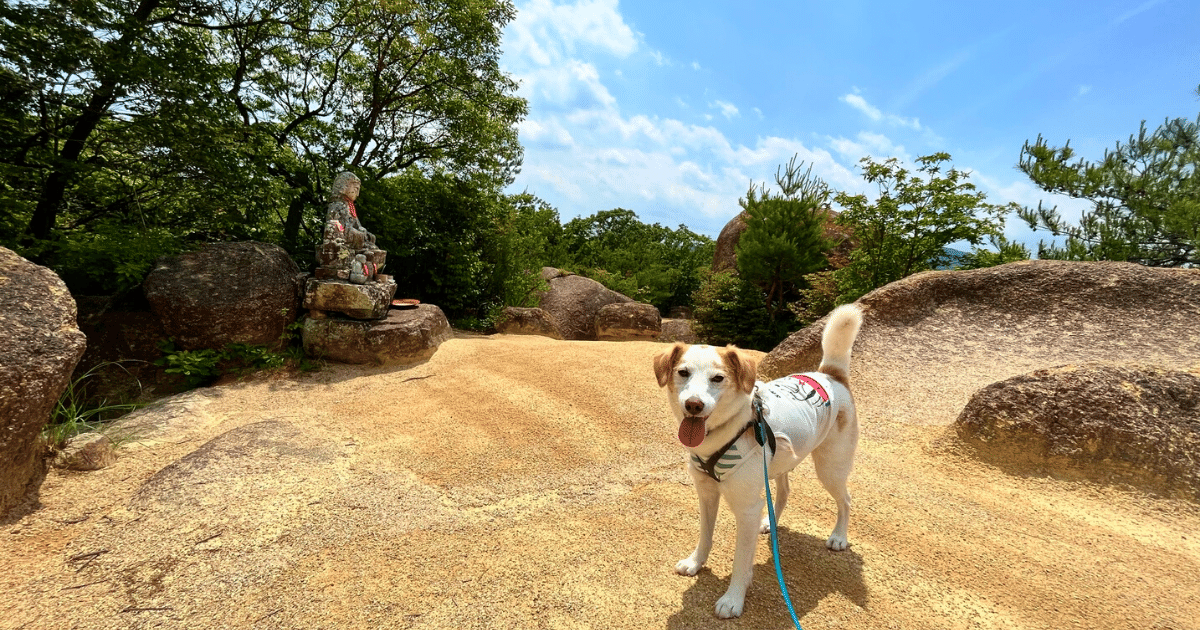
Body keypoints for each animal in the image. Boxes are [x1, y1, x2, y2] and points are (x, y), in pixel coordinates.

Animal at [657, 302, 864, 614]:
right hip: (778, 463)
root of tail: (830, 374)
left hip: (830, 467)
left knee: (846, 500)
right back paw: (770, 522)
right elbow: (705, 535)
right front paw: (695, 562)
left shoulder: (747, 509)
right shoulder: (706, 494)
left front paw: (733, 599)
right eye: (682, 372)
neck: (727, 429)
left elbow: (741, 561)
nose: (694, 405)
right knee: (784, 490)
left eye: (718, 378)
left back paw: (839, 537)